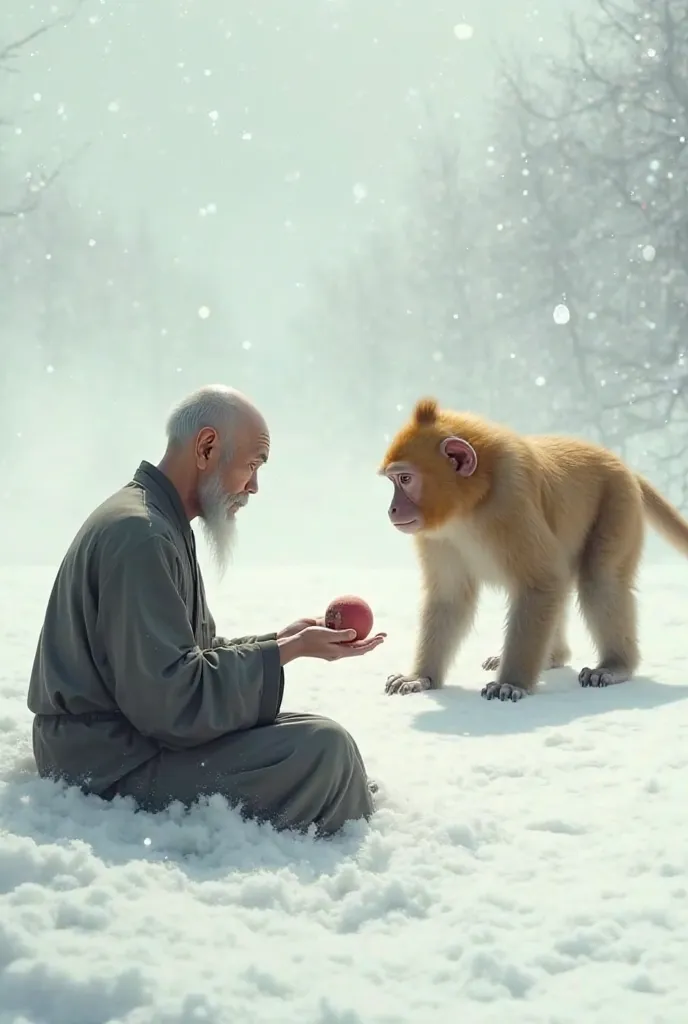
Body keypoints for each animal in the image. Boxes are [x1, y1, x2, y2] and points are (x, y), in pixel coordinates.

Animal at [378, 397, 688, 704]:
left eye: (405, 479)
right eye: (393, 480)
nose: (391, 509)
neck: (472, 503)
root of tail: (623, 465)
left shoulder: (510, 504)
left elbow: (542, 581)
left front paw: (511, 683)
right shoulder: (438, 535)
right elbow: (450, 596)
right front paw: (420, 677)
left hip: (619, 503)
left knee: (600, 579)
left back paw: (615, 666)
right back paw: (554, 656)